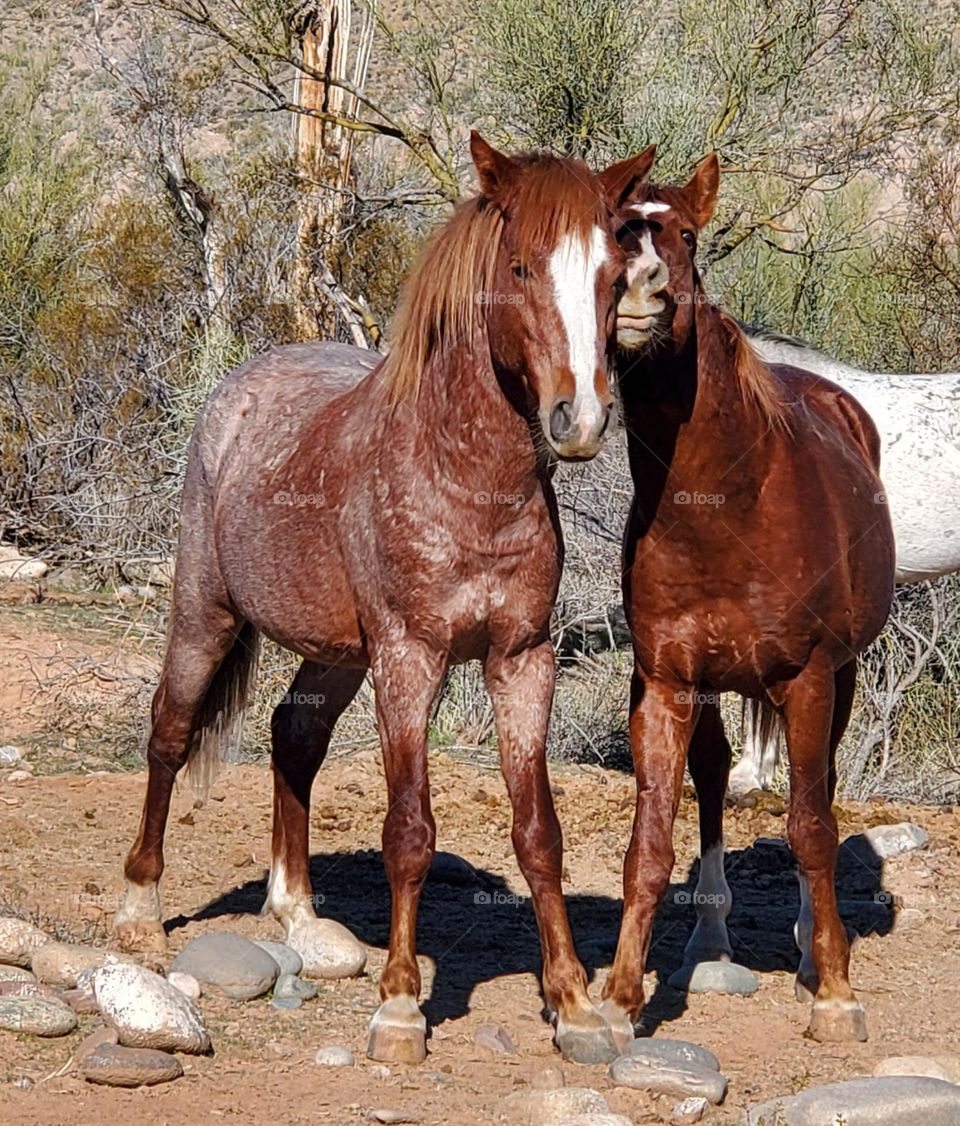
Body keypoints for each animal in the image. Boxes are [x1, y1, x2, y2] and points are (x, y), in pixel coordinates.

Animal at [111, 132, 658, 1066]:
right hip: (206, 614)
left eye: (612, 274)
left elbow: (538, 832)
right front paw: (402, 1008)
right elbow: (409, 832)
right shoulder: (411, 658)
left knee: (292, 738)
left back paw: (298, 914)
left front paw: (575, 1004)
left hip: (336, 653)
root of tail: (240, 386)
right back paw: (141, 911)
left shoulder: (523, 661)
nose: (579, 421)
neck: (468, 481)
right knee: (170, 734)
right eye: (519, 266)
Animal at [599, 150, 895, 1046]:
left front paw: (835, 995)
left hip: (843, 677)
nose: (640, 291)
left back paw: (810, 953)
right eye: (610, 227)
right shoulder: (664, 683)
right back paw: (711, 940)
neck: (726, 504)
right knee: (713, 780)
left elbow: (810, 828)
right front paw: (616, 1002)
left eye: (688, 235)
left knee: (817, 793)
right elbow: (648, 842)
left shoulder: (808, 678)